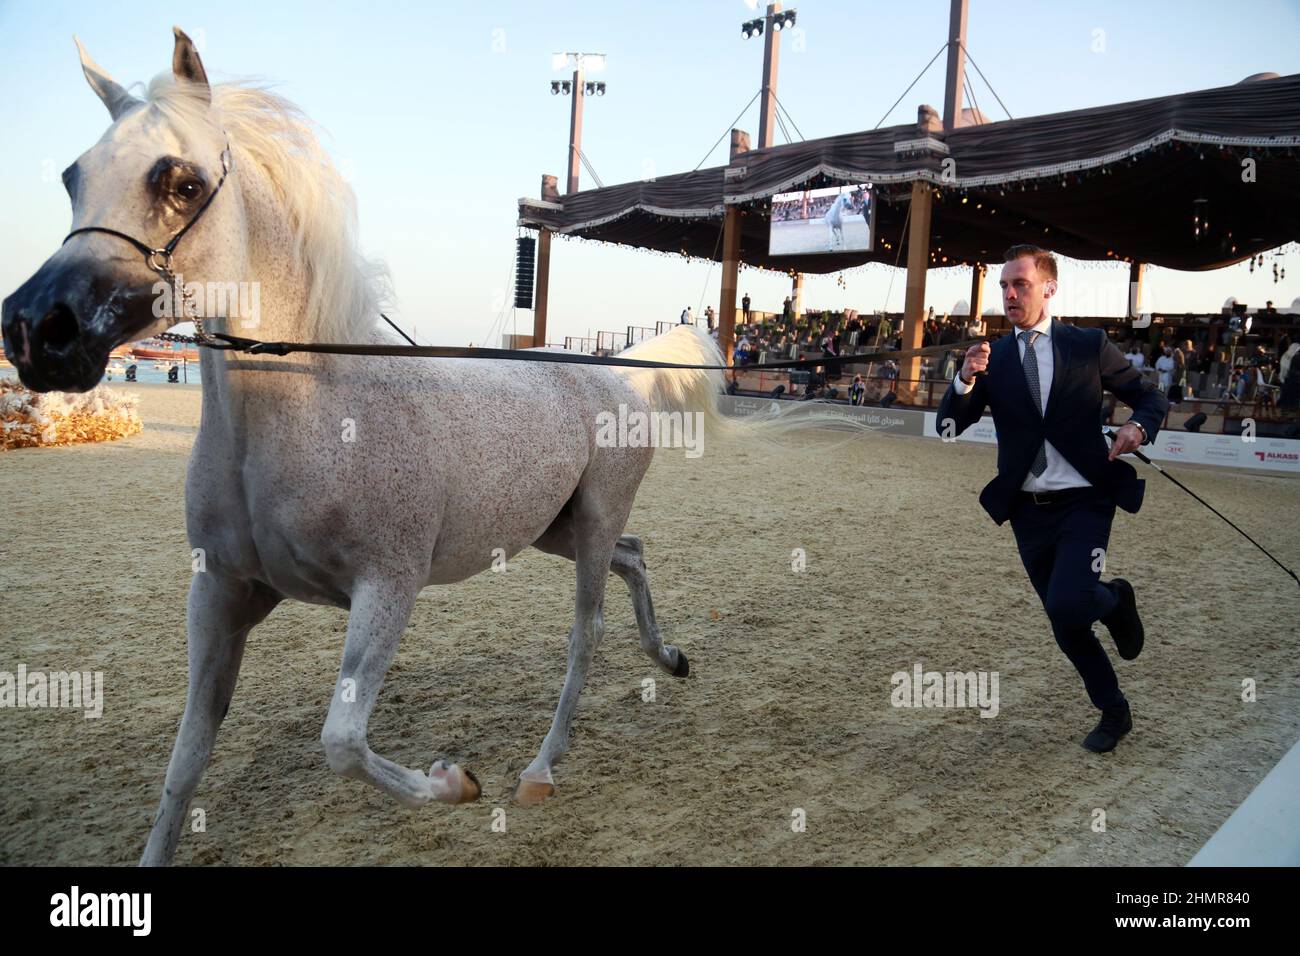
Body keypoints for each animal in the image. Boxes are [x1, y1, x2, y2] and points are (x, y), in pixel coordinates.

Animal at [0, 29, 733, 868]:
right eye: (72, 176)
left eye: (180, 182)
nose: (34, 329)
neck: (314, 415)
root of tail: (618, 374)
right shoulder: (218, 596)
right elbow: (185, 762)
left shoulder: (387, 588)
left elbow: (342, 742)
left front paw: (457, 782)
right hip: (561, 528)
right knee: (636, 557)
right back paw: (670, 659)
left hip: (592, 526)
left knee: (588, 634)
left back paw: (540, 769)